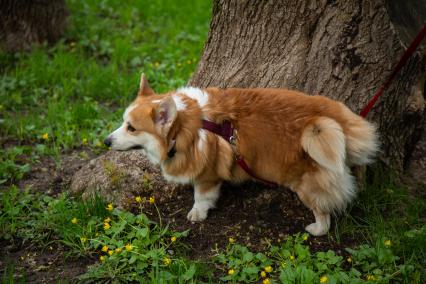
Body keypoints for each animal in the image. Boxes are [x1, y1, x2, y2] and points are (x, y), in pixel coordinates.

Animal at [105, 73, 378, 235]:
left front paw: (197, 214)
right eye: (123, 122)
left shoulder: (209, 176)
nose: (106, 141)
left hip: (307, 182)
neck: (187, 126)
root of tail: (338, 123)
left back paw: (315, 228)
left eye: (131, 128)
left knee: (324, 212)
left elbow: (201, 197)